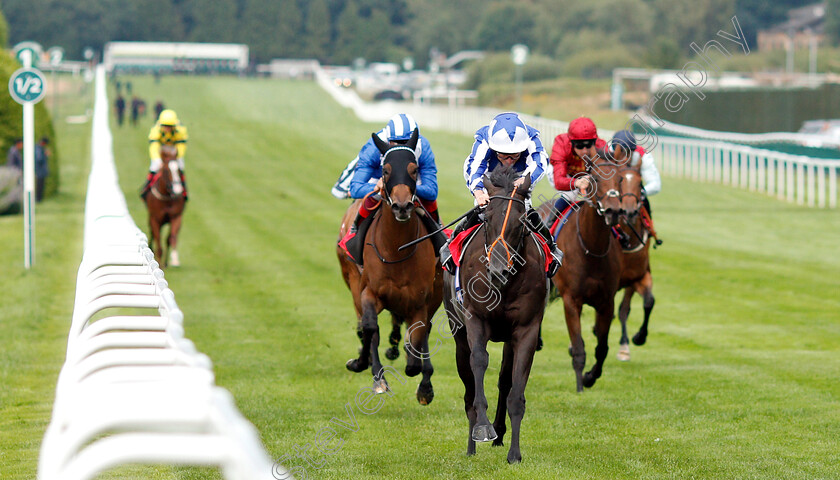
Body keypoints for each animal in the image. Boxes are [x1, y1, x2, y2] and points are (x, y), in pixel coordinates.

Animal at [336, 128, 446, 404]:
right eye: (385, 170)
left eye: (414, 169)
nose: (402, 205)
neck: (397, 249)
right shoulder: (368, 292)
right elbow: (369, 327)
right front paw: (372, 373)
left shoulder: (420, 301)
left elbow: (417, 342)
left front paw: (422, 382)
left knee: (423, 333)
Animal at [442, 167, 548, 464]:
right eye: (486, 217)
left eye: (521, 221)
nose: (498, 270)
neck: (504, 285)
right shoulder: (475, 320)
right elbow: (479, 361)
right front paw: (482, 428)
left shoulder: (526, 328)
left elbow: (515, 390)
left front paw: (514, 453)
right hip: (458, 332)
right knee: (468, 384)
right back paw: (472, 445)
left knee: (504, 379)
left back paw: (500, 434)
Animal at [540, 160, 624, 390]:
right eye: (595, 178)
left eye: (621, 178)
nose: (613, 211)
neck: (591, 248)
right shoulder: (571, 300)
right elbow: (579, 348)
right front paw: (579, 386)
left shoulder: (606, 302)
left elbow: (602, 348)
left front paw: (589, 377)